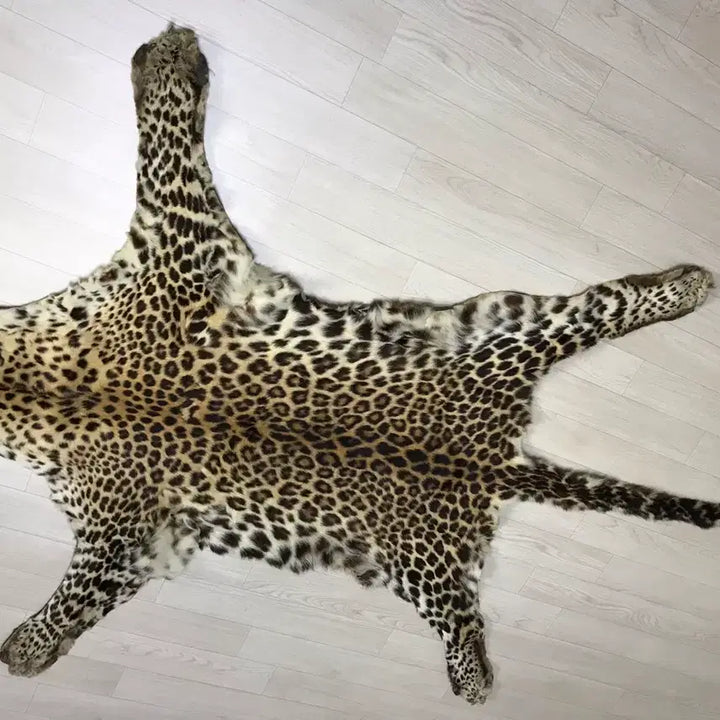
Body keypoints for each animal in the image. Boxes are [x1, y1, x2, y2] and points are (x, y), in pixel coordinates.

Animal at [0, 25, 717, 707]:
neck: (23, 383)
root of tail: (494, 463)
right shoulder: (139, 536)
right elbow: (84, 596)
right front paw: (35, 647)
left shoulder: (179, 247)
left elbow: (168, 134)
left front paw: (24, 648)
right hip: (481, 361)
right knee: (468, 611)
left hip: (477, 426)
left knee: (609, 305)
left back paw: (688, 287)